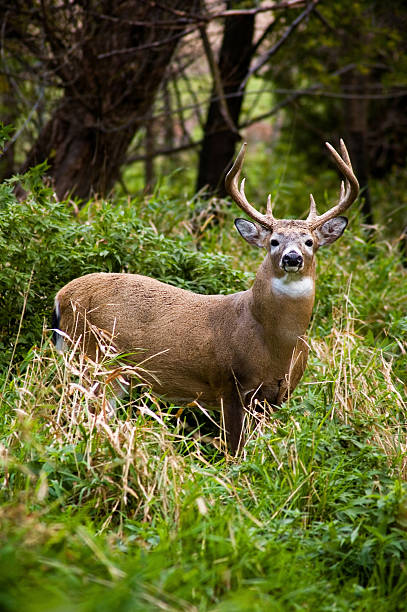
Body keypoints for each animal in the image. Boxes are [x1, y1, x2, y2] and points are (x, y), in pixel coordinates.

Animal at [51, 140, 360, 454]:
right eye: (274, 241)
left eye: (309, 241)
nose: (292, 258)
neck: (274, 344)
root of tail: (62, 296)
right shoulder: (227, 383)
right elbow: (236, 451)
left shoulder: (277, 396)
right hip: (95, 358)